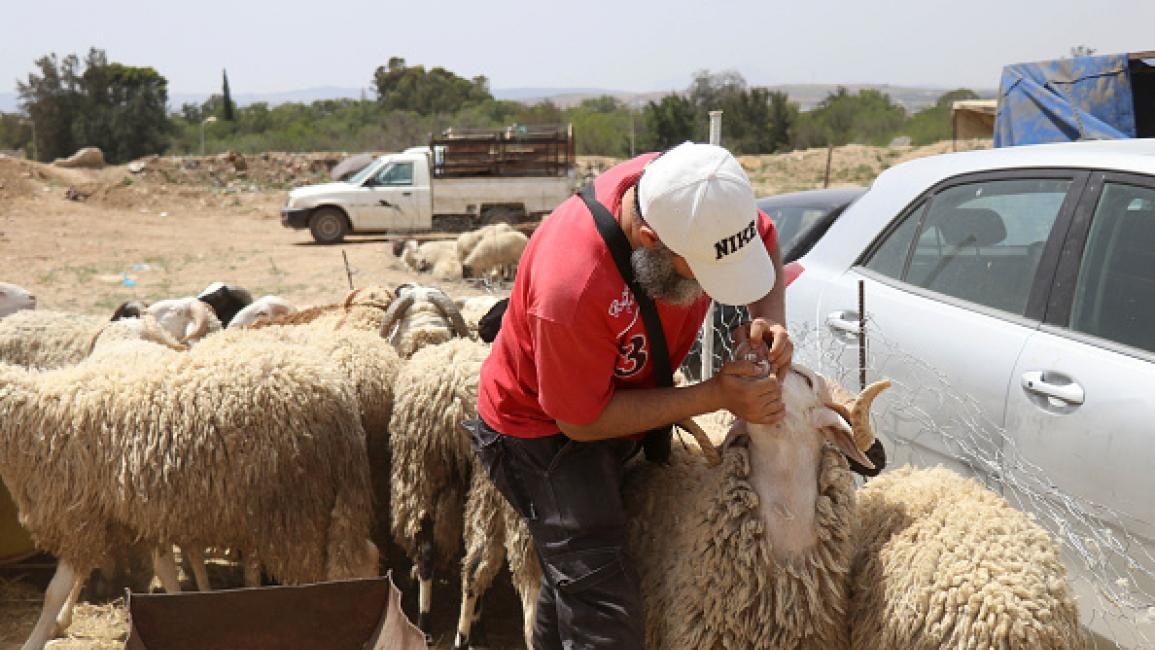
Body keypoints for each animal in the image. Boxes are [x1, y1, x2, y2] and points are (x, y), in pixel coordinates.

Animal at [1, 336, 378, 650]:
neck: (36, 422)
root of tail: (339, 395)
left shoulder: (75, 517)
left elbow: (54, 591)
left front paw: (35, 639)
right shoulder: (113, 516)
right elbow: (157, 569)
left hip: (296, 507)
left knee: (329, 572)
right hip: (329, 501)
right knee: (364, 555)